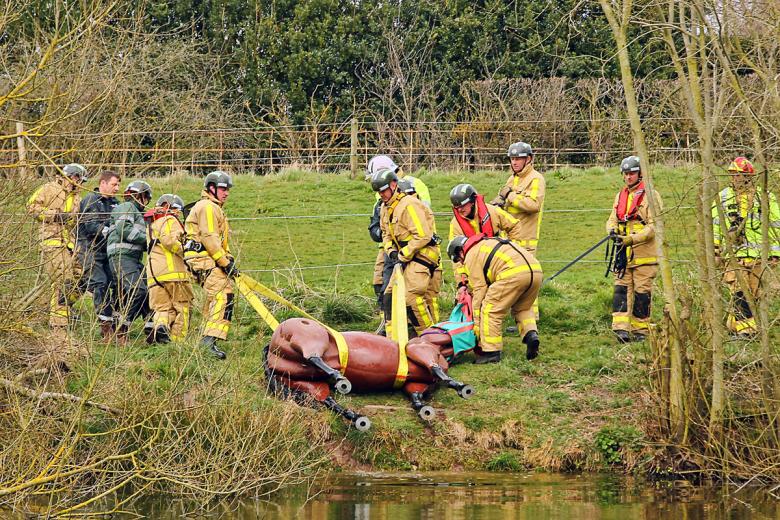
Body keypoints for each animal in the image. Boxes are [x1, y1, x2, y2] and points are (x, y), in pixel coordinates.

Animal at [265, 317, 475, 431]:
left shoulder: (415, 384)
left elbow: (416, 397)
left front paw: (424, 409)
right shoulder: (419, 350)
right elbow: (437, 369)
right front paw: (461, 387)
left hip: (301, 380)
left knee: (326, 399)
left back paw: (356, 417)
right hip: (310, 339)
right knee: (312, 356)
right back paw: (340, 379)